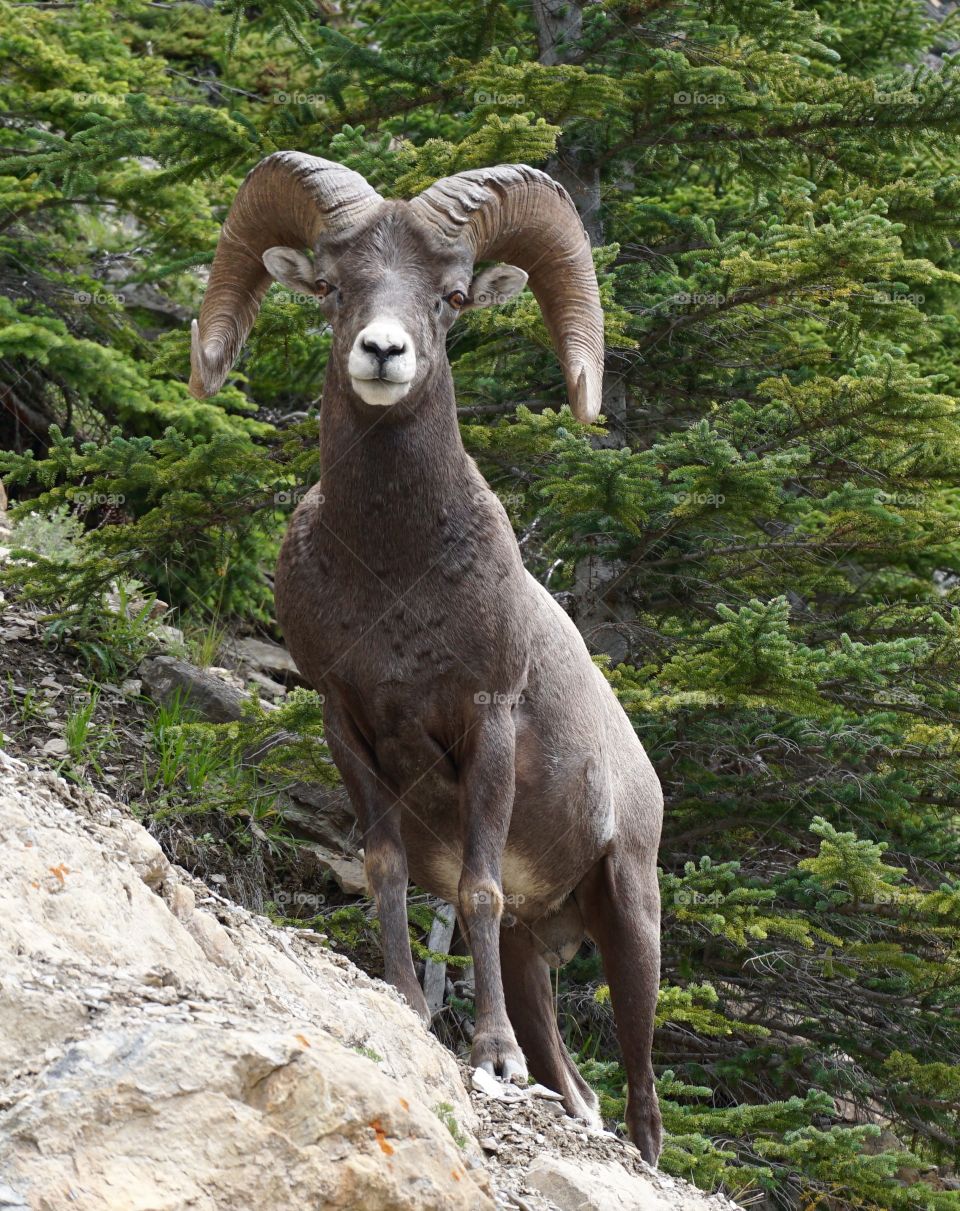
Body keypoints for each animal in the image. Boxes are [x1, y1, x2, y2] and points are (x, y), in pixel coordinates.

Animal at [190, 153, 663, 1162]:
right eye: (333, 287)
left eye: (450, 297)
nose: (382, 352)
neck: (395, 574)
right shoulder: (350, 727)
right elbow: (387, 871)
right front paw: (408, 1004)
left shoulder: (485, 727)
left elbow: (476, 891)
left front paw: (490, 1058)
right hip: (535, 957)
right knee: (577, 1082)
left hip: (631, 913)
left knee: (644, 1097)